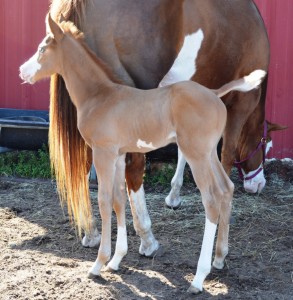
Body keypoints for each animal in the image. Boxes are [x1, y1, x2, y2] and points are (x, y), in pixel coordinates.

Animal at [19, 15, 266, 294]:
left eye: (42, 49)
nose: (22, 71)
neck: (99, 96)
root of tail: (214, 93)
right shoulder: (118, 154)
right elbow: (119, 200)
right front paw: (116, 260)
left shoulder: (103, 153)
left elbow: (104, 201)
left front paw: (98, 264)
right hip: (208, 153)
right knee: (226, 189)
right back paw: (220, 258)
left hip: (196, 154)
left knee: (211, 199)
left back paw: (198, 278)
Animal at [49, 0, 282, 254]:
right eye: (265, 144)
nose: (259, 184)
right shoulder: (240, 106)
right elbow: (226, 156)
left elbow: (184, 152)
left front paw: (174, 196)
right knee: (133, 166)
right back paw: (146, 237)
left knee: (83, 163)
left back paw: (91, 232)